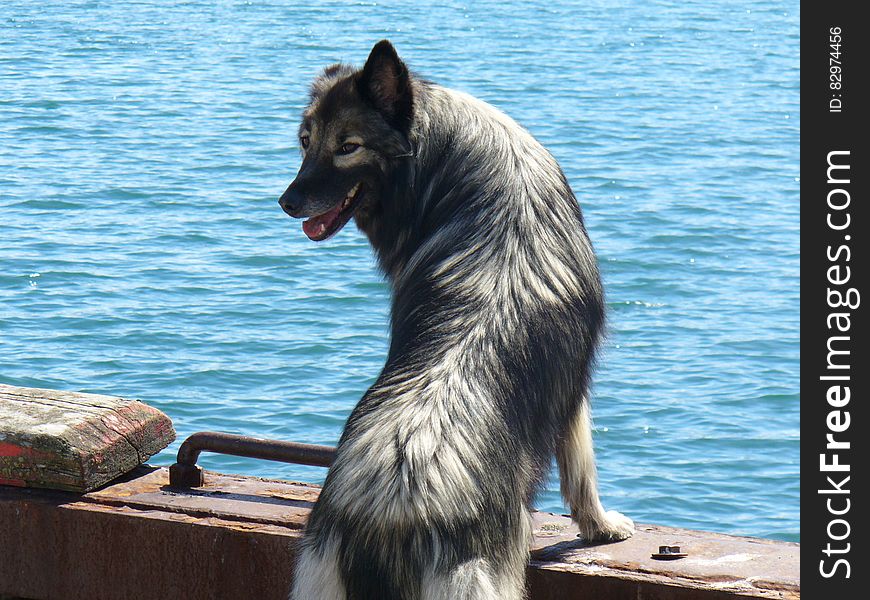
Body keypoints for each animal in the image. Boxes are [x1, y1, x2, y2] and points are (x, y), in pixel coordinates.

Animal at [280, 39, 632, 596]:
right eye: (306, 141)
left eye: (347, 146)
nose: (287, 201)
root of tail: (388, 517)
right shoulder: (574, 391)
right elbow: (582, 470)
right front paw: (602, 528)